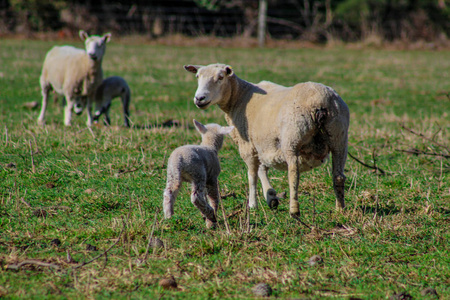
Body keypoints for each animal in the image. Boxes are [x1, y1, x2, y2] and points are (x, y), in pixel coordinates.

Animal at [185, 63, 350, 218]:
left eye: (220, 77)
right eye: (197, 77)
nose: (199, 98)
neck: (239, 97)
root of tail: (320, 102)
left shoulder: (248, 146)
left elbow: (252, 175)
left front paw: (253, 204)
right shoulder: (263, 144)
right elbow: (262, 169)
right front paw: (270, 196)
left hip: (292, 139)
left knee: (294, 175)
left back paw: (294, 210)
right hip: (339, 138)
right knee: (338, 176)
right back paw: (340, 209)